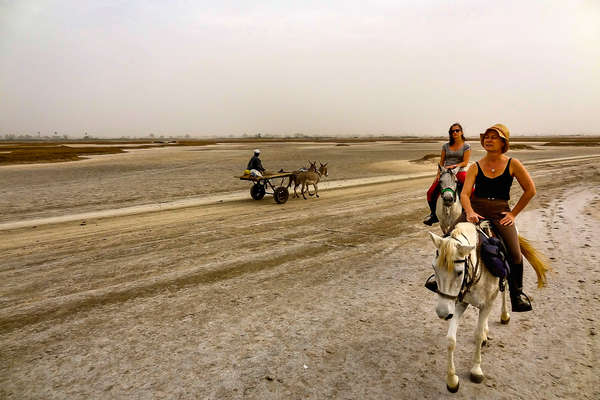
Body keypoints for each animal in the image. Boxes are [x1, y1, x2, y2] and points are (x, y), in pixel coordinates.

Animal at [426, 223, 548, 392]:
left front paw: (476, 370)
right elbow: (451, 339)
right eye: (434, 268)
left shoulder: (487, 302)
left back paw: (504, 315)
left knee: (504, 292)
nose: (442, 313)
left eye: (459, 272)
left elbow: (477, 335)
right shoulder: (459, 303)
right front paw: (452, 380)